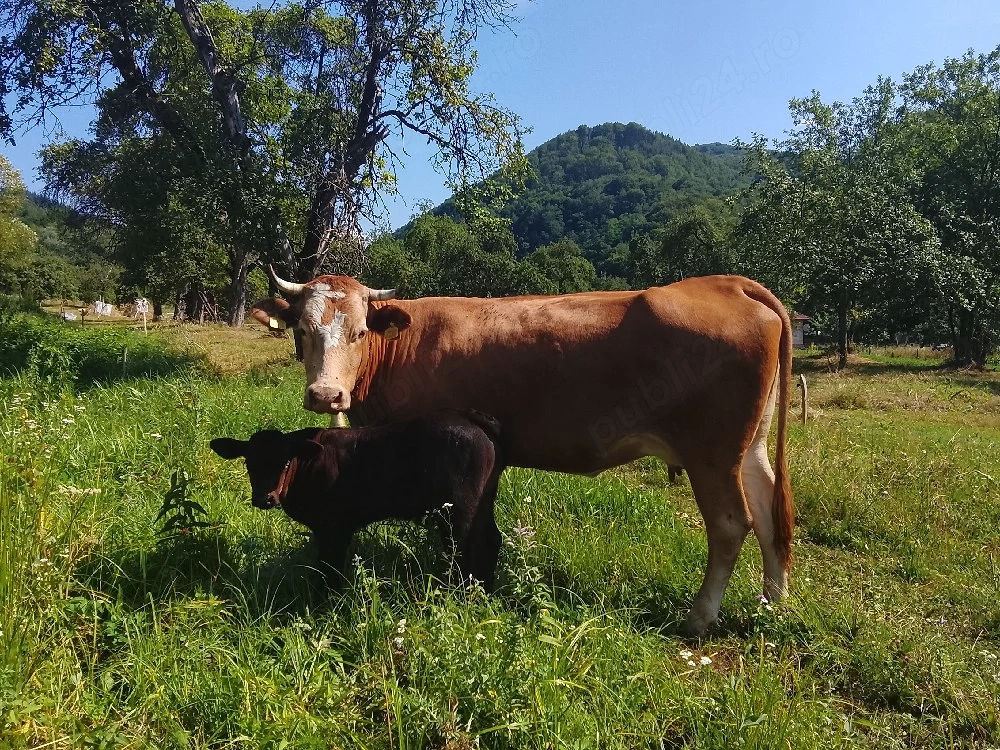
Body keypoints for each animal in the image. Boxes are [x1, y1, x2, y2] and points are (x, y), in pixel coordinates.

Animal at [210, 410, 505, 589]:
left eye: (284, 462)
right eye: (248, 463)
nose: (264, 498)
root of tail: (470, 420)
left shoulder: (333, 526)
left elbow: (330, 567)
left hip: (458, 511)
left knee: (466, 547)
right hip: (481, 502)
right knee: (491, 539)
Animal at [251, 271, 795, 634]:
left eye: (360, 331)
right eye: (302, 330)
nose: (326, 396)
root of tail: (725, 283)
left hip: (712, 454)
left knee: (731, 524)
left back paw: (699, 617)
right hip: (749, 448)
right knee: (770, 514)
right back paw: (772, 604)